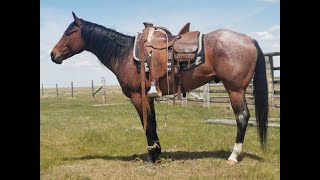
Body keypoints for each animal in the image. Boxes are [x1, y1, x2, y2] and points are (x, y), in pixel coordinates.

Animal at [51, 12, 268, 165]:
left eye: (69, 33)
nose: (53, 54)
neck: (125, 54)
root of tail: (248, 39)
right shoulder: (149, 97)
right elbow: (153, 122)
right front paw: (157, 151)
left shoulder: (138, 96)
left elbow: (146, 124)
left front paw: (152, 155)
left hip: (235, 90)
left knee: (242, 117)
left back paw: (233, 155)